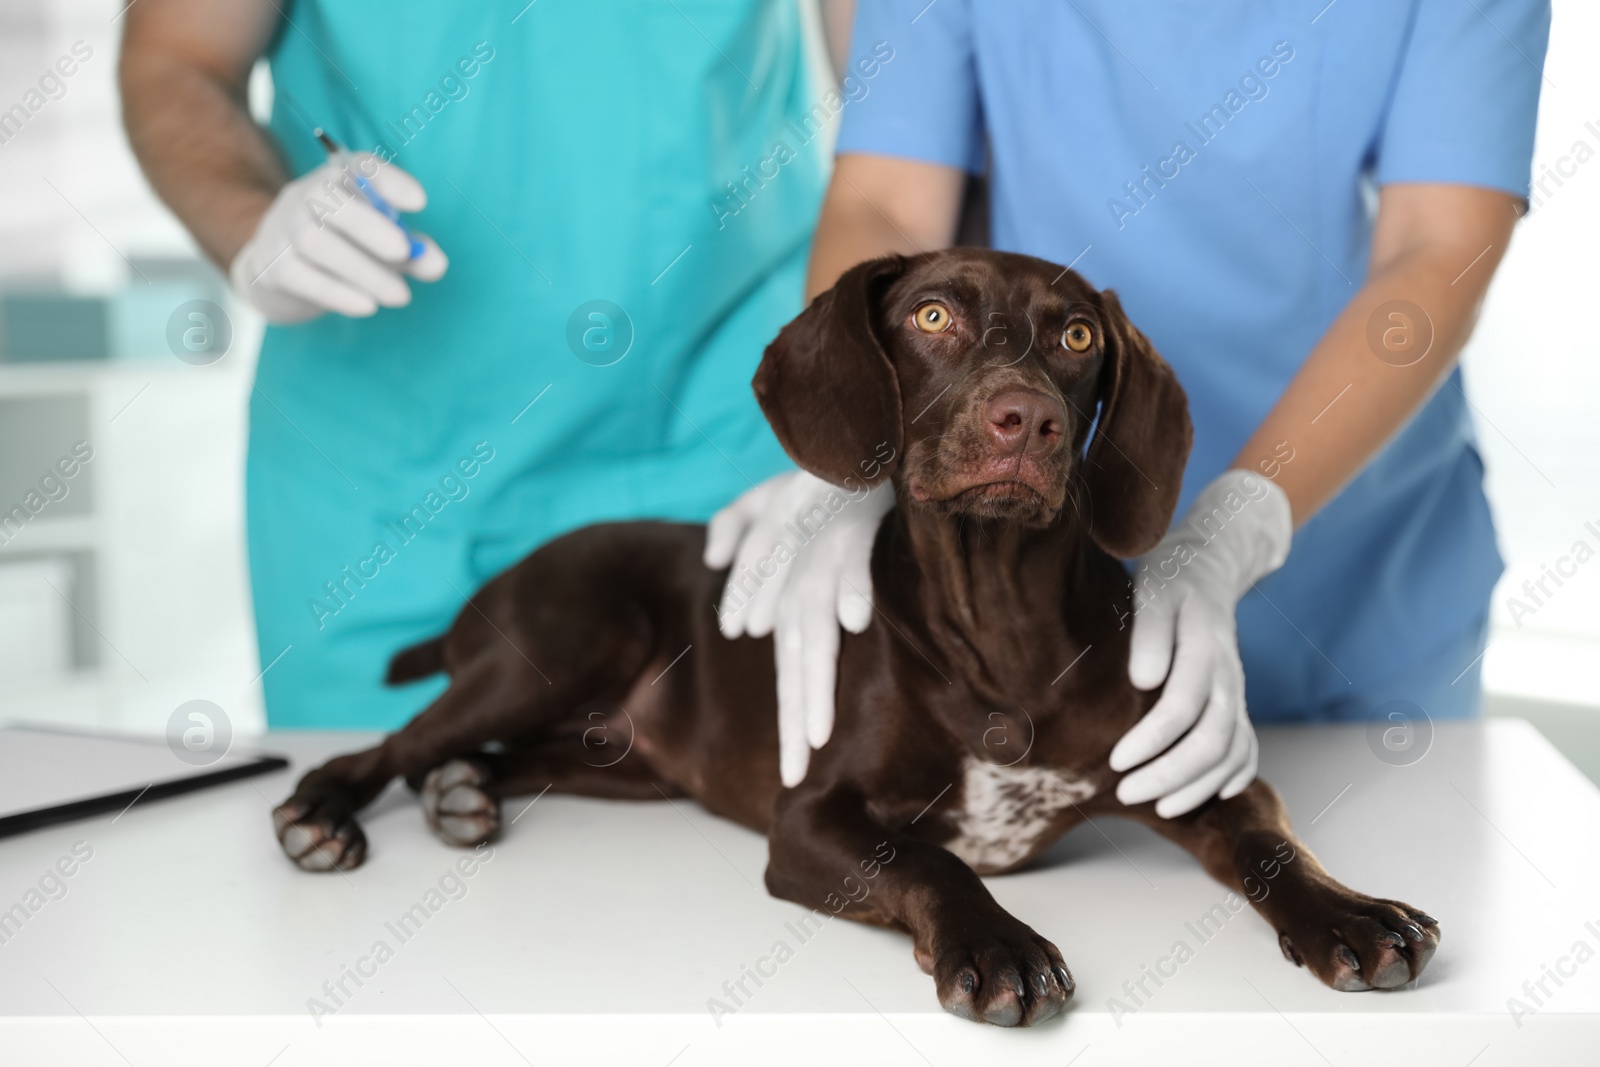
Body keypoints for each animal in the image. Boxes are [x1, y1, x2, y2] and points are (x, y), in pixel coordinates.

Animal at [272, 247, 1440, 1023]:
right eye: (930, 315)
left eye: (1075, 337)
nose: (1028, 420)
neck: (1001, 625)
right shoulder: (811, 822)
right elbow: (931, 859)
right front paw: (998, 943)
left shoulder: (1200, 775)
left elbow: (1272, 843)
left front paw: (1349, 914)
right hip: (558, 645)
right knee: (388, 742)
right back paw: (326, 813)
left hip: (623, 753)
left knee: (504, 755)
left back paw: (462, 793)